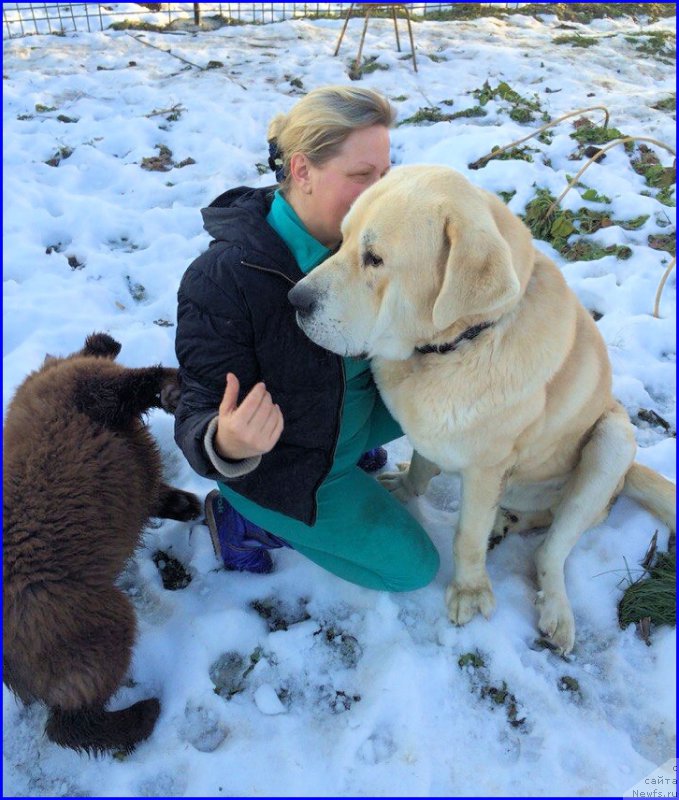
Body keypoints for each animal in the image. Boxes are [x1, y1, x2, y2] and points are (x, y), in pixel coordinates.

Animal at [2, 332, 201, 756]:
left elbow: (154, 493)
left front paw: (186, 504)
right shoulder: (89, 387)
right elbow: (137, 380)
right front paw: (173, 383)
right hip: (99, 629)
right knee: (68, 727)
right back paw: (144, 714)